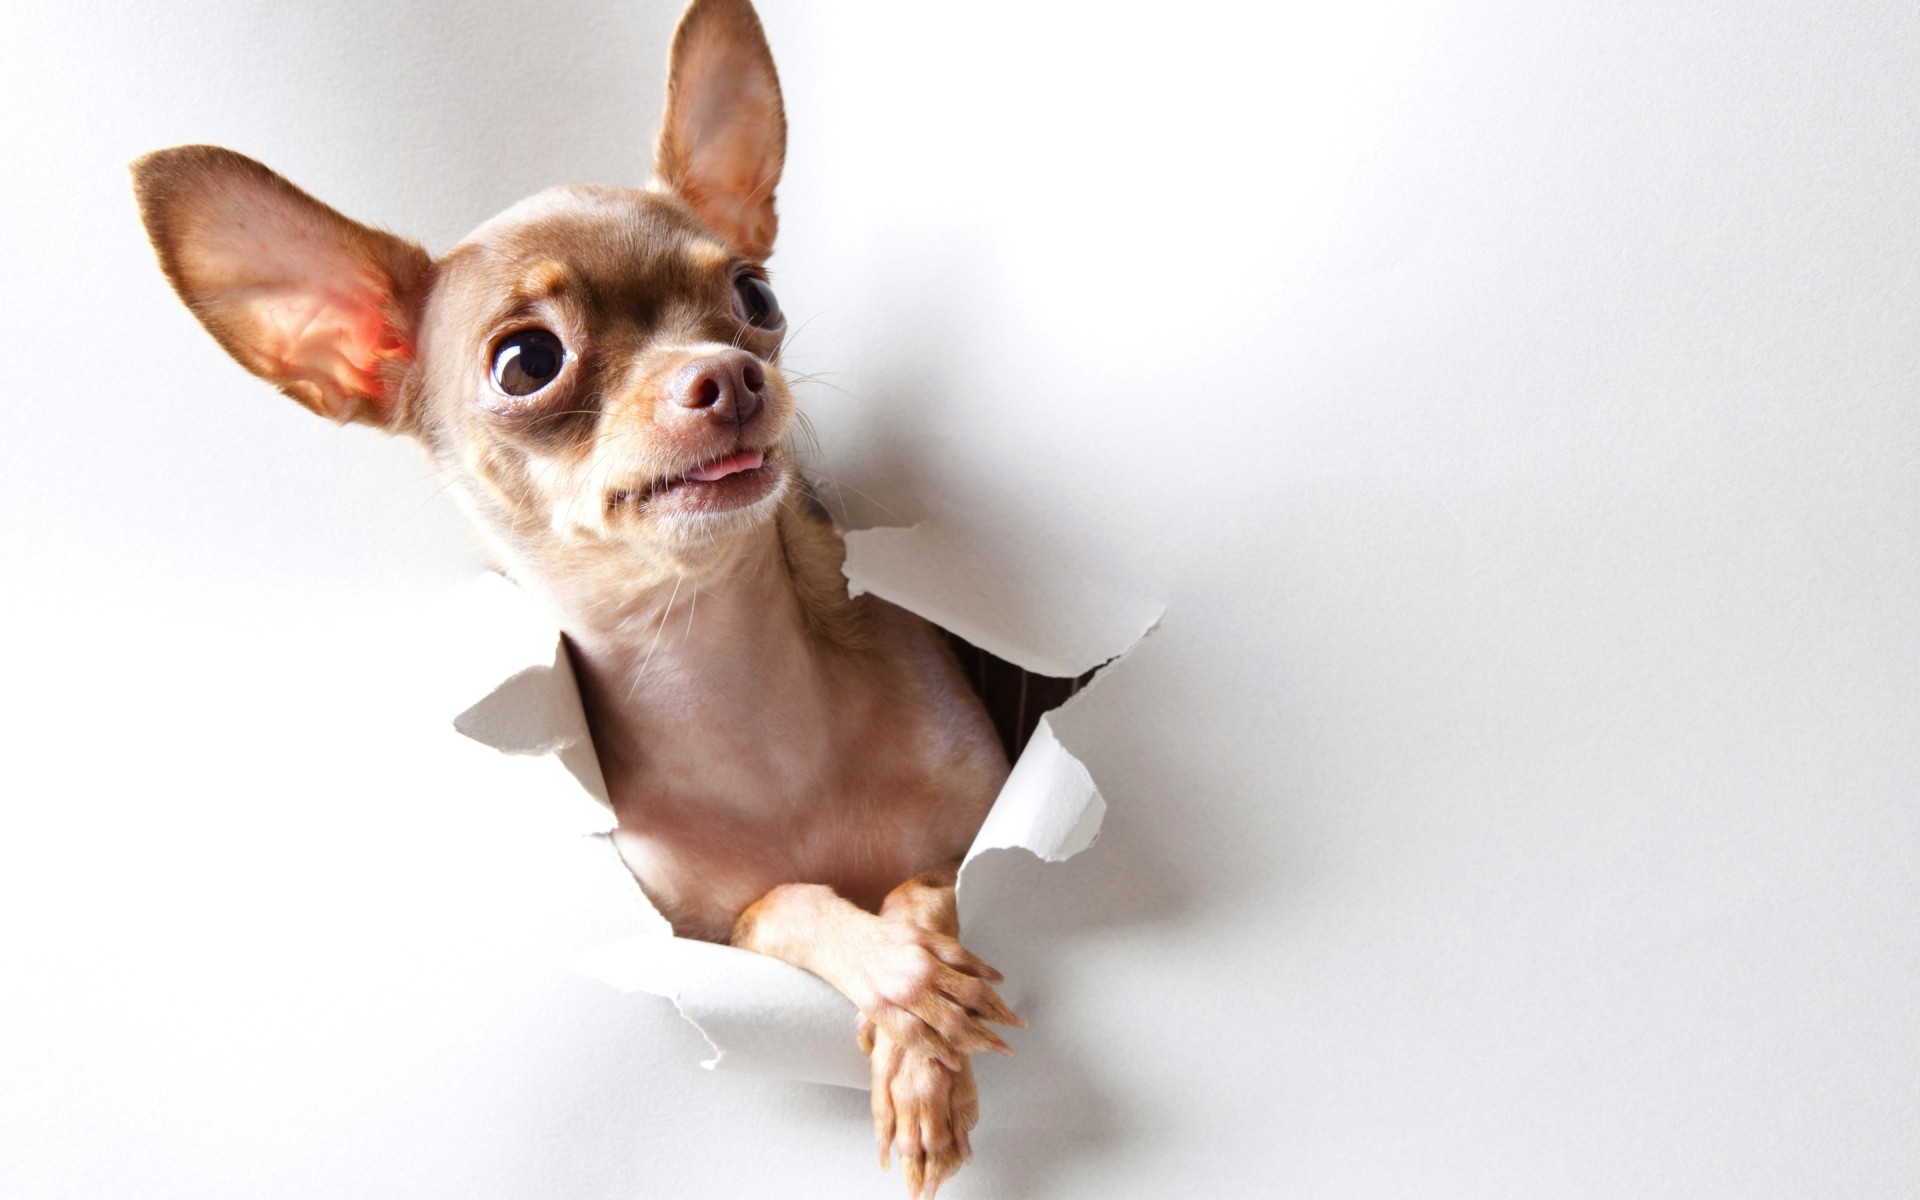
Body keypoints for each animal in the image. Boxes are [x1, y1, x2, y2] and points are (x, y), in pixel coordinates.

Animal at [131, 4, 1021, 1190]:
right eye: (526, 362)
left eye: (756, 296)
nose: (730, 376)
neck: (730, 688)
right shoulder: (696, 932)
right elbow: (781, 902)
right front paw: (894, 975)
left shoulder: (983, 806)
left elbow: (934, 882)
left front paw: (921, 1023)